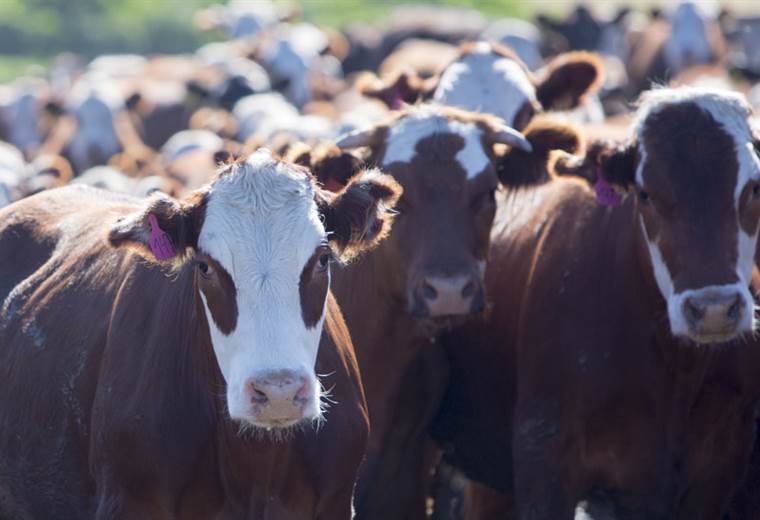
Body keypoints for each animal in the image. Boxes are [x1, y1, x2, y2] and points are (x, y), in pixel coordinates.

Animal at [430, 87, 760, 516]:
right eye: (645, 193)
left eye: (753, 187)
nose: (714, 309)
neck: (675, 368)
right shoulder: (543, 456)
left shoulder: (717, 472)